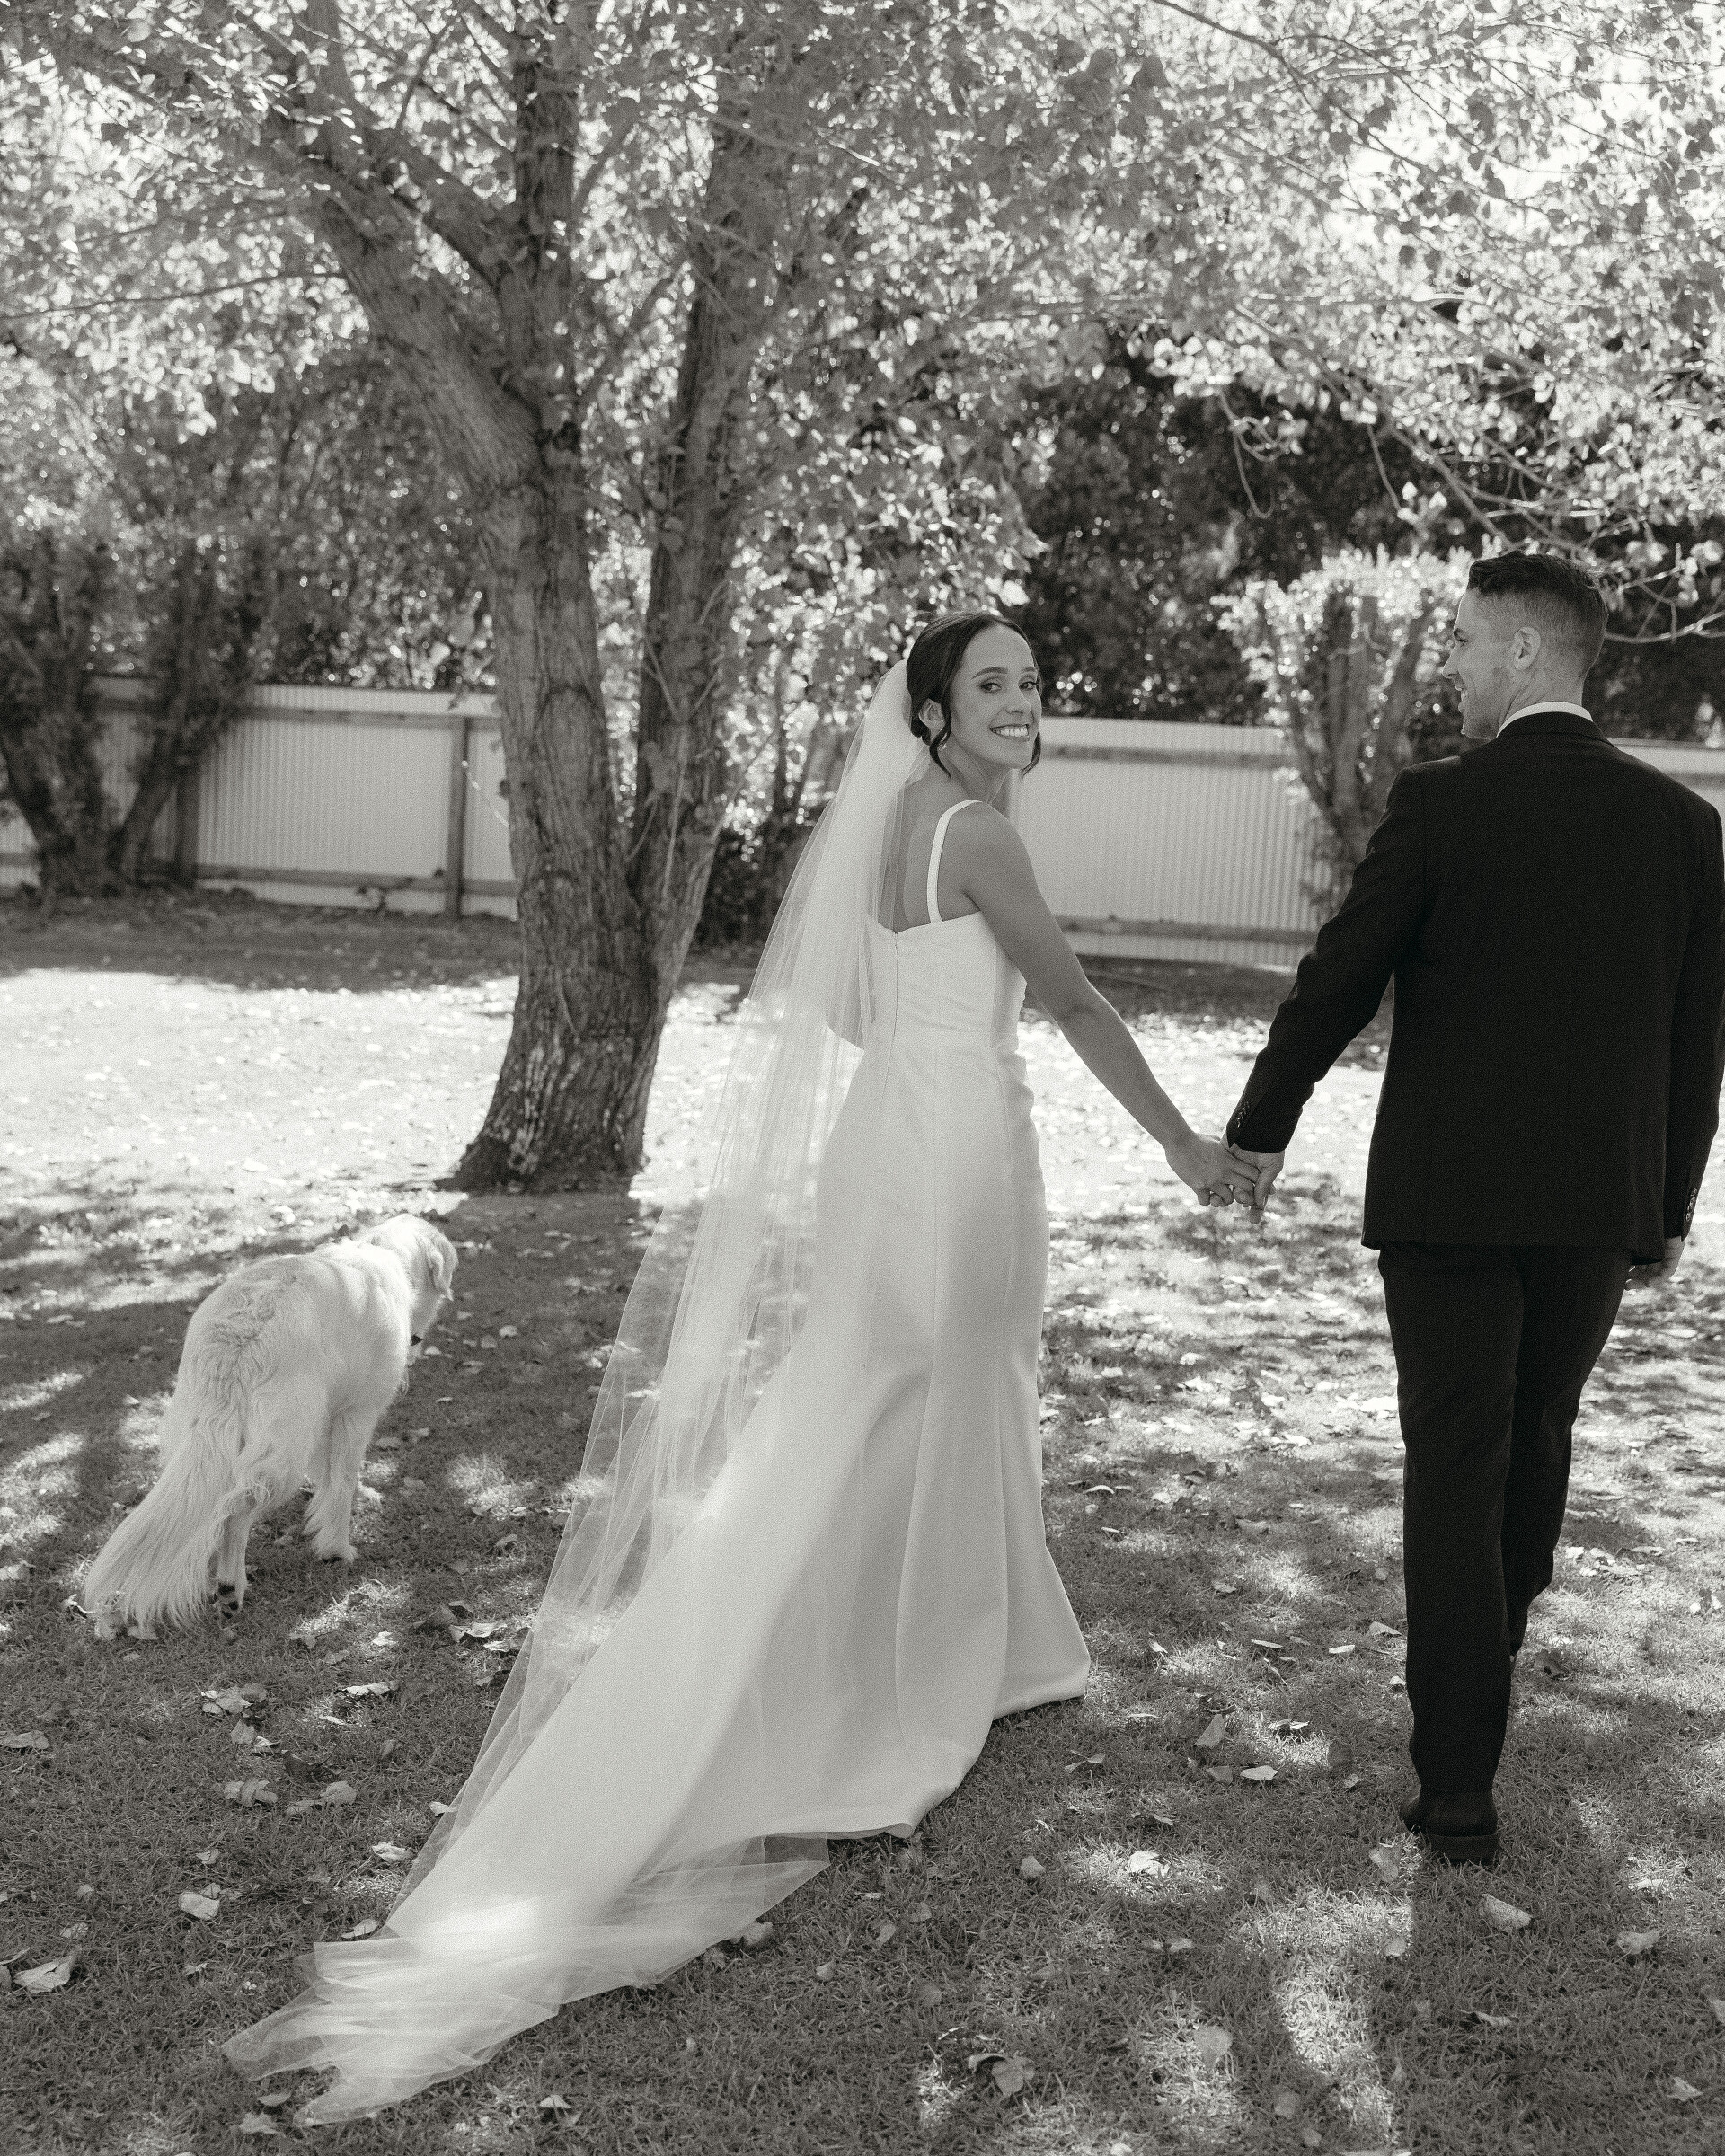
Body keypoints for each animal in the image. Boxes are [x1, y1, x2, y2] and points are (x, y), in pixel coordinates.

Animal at [80, 1215, 457, 1639]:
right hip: (283, 1449)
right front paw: (337, 1549)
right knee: (236, 1511)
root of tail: (234, 1336)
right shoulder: (356, 1413)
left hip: (201, 1441)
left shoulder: (325, 1421)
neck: (385, 1252)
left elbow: (328, 1478)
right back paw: (230, 1587)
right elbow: (343, 1480)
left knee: (213, 1509)